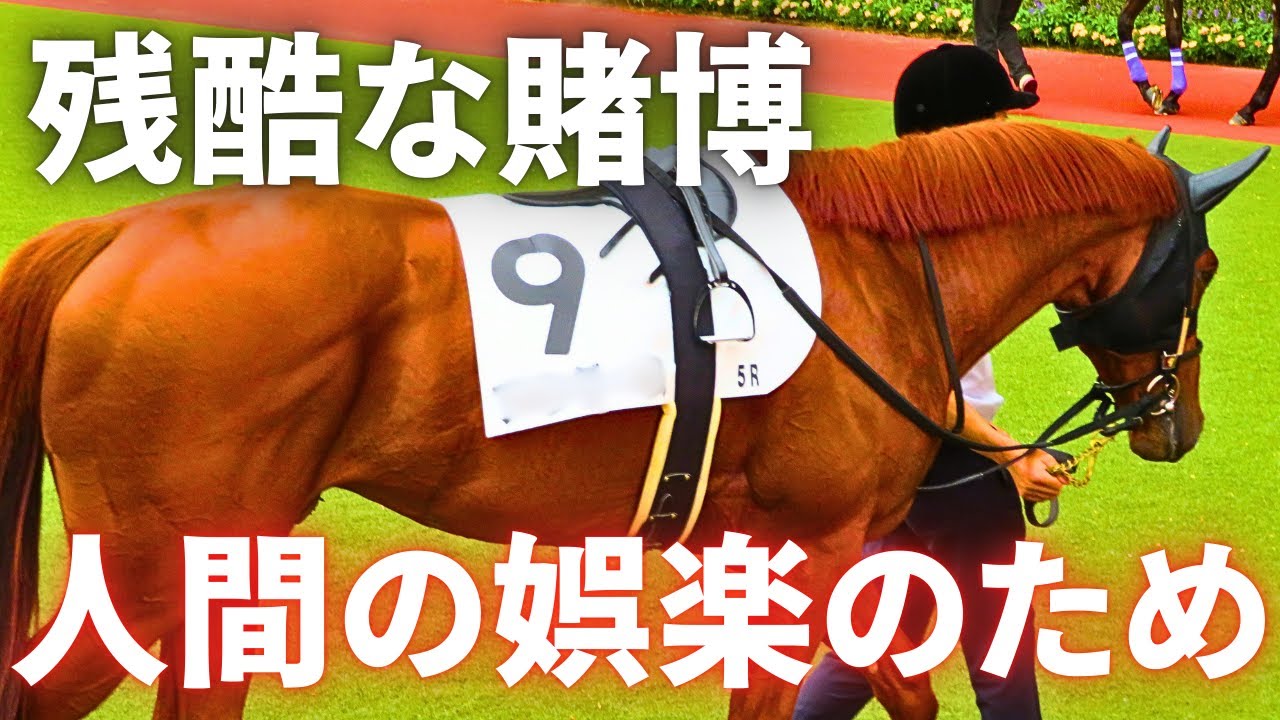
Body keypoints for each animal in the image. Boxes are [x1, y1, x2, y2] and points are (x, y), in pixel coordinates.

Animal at [0, 121, 1265, 720]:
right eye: (1203, 267)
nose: (1179, 419)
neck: (869, 275)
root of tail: (115, 237)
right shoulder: (819, 539)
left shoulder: (785, 547)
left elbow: (894, 686)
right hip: (152, 558)